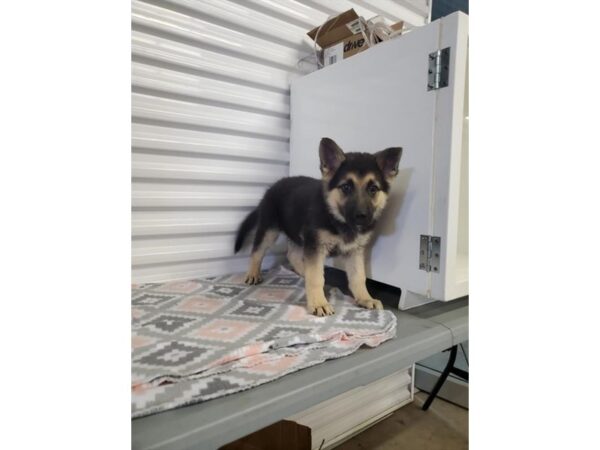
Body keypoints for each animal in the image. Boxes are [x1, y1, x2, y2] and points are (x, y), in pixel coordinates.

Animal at [234, 137, 404, 316]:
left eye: (373, 189)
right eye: (346, 187)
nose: (361, 216)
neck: (336, 218)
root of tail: (273, 186)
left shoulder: (354, 251)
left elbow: (358, 277)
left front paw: (365, 298)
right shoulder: (315, 246)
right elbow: (316, 277)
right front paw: (318, 302)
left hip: (298, 234)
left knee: (292, 254)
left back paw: (303, 272)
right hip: (269, 230)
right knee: (257, 251)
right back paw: (253, 273)